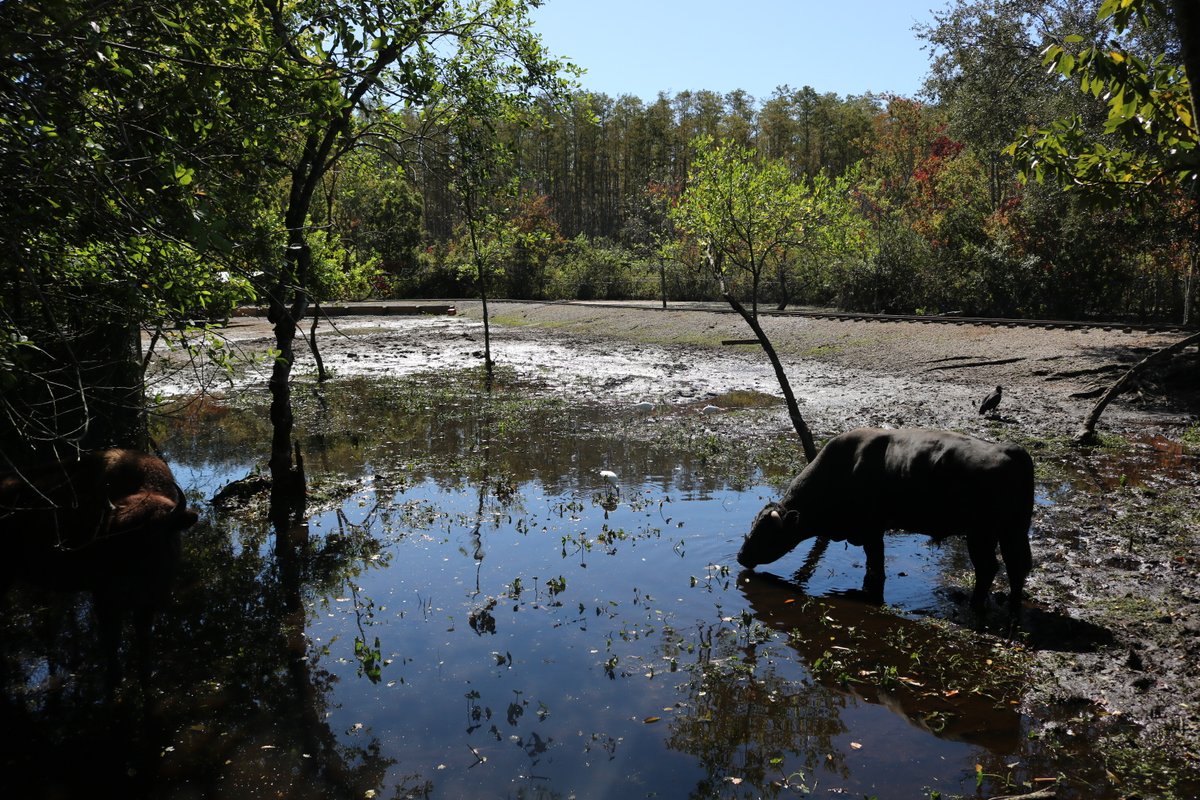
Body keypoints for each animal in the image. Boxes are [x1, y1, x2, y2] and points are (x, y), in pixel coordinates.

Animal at [0, 450, 199, 690]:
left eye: (154, 536)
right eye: (111, 537)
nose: (122, 586)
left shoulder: (146, 603)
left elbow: (143, 645)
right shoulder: (105, 601)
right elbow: (112, 642)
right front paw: (115, 678)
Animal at [734, 429, 1036, 618]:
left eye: (766, 533)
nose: (740, 556)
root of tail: (1011, 450)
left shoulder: (871, 530)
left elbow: (875, 565)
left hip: (981, 533)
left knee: (988, 568)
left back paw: (975, 606)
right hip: (1013, 531)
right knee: (1017, 565)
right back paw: (1013, 607)